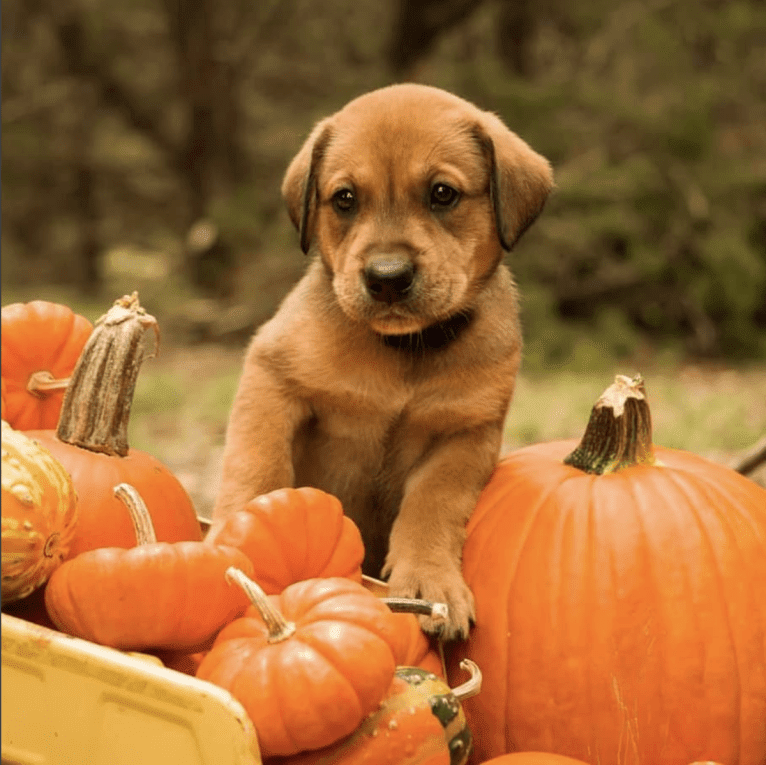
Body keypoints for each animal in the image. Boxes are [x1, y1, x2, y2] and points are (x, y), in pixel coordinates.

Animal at [213, 82, 556, 640]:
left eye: (443, 194)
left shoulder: (467, 433)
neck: (404, 353)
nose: (388, 278)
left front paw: (430, 583)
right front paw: (233, 536)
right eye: (345, 199)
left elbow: (433, 504)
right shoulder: (271, 378)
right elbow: (257, 467)